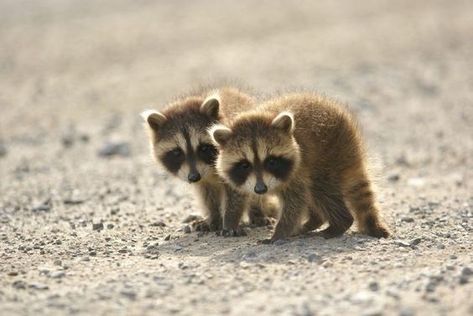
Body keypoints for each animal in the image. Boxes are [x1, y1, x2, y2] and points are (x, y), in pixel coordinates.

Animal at [140, 87, 272, 233]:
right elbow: (208, 196)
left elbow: (236, 192)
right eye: (177, 152)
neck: (210, 170)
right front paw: (214, 218)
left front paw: (230, 220)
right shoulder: (202, 179)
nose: (194, 177)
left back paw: (257, 212)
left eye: (203, 148)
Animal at [209, 92, 388, 242]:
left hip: (330, 156)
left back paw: (339, 223)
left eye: (271, 161)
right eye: (245, 165)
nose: (260, 189)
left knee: (321, 189)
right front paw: (231, 221)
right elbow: (236, 194)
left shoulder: (299, 168)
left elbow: (295, 201)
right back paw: (315, 221)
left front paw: (279, 233)